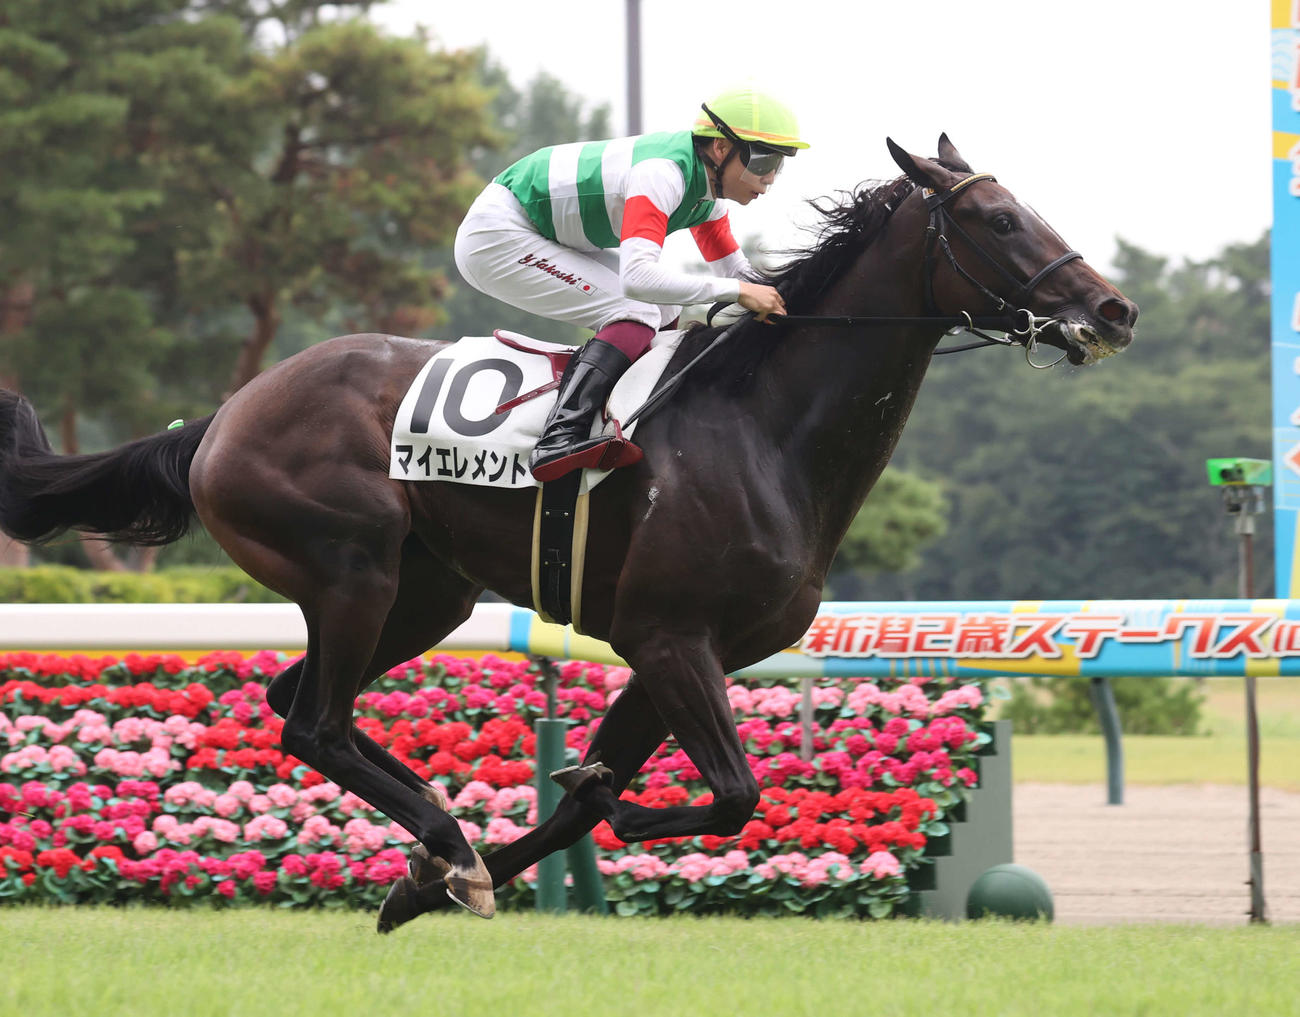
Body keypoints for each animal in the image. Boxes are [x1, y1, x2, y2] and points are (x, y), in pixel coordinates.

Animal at [0, 136, 1136, 928]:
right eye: (996, 218)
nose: (1114, 310)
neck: (758, 432)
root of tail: (221, 416)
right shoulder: (670, 638)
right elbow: (724, 795)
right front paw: (522, 837)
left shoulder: (685, 650)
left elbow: (598, 803)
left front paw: (430, 885)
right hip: (349, 570)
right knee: (312, 722)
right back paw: (444, 834)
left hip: (427, 590)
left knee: (299, 704)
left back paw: (440, 841)